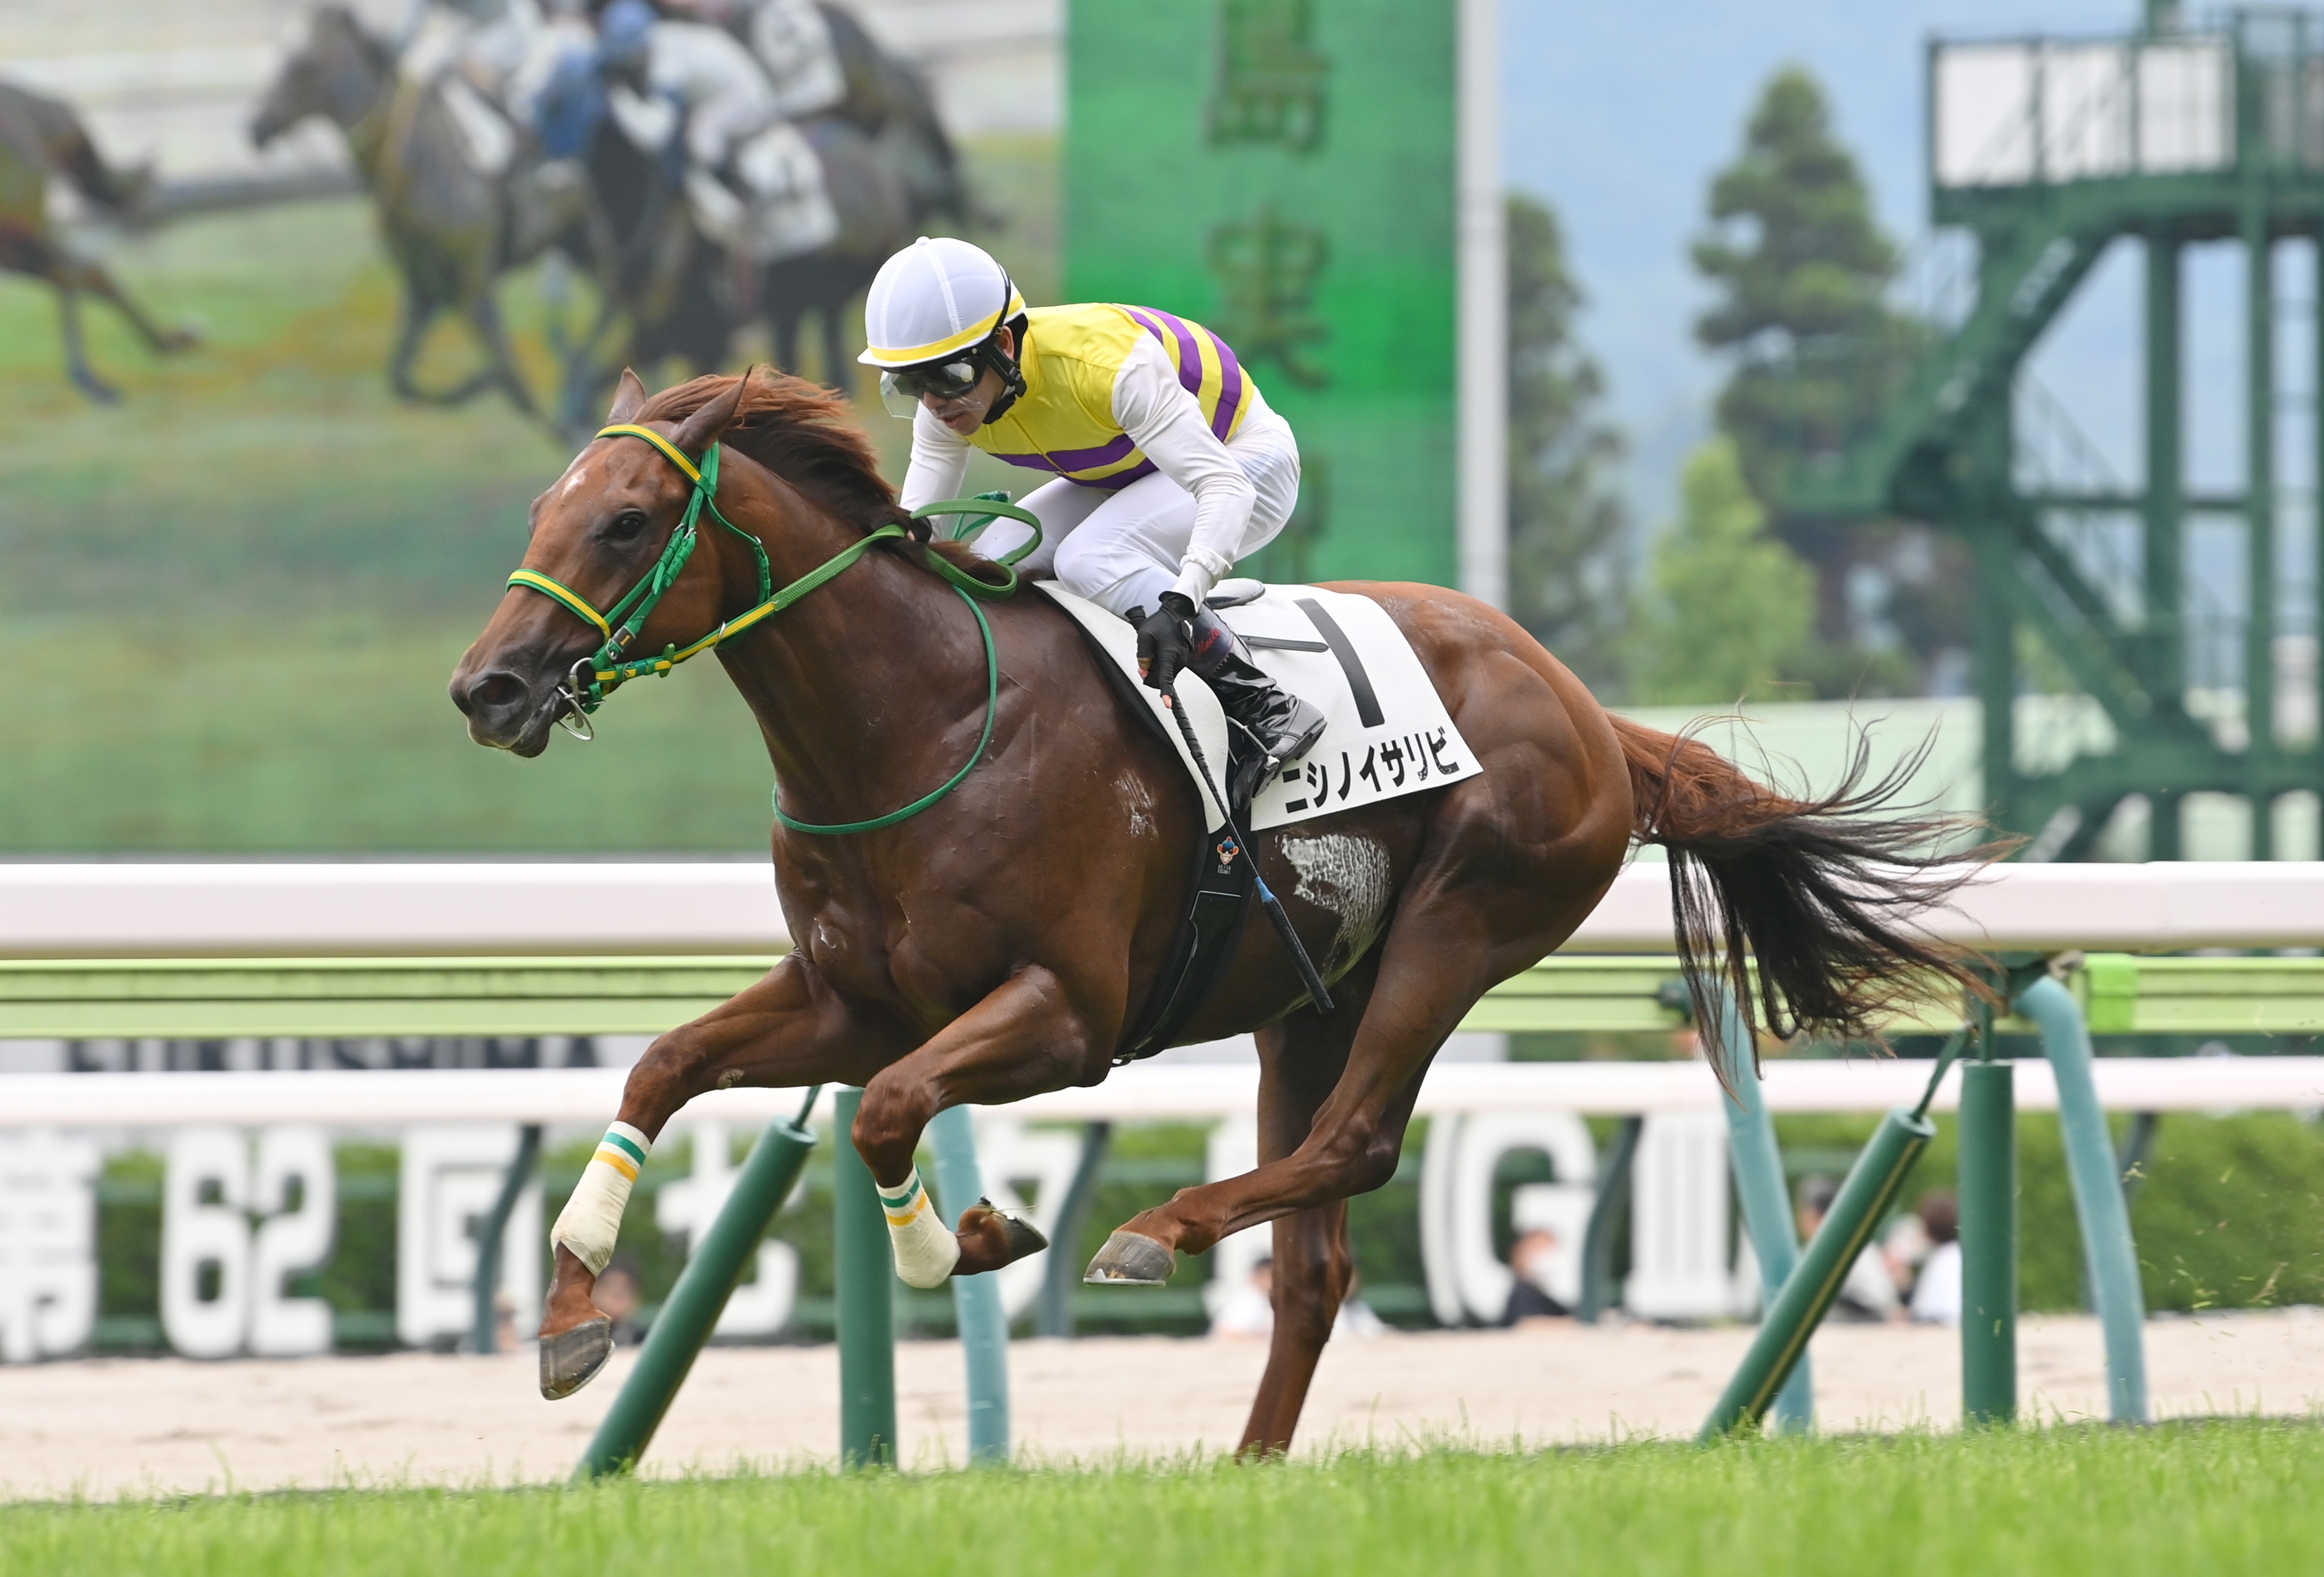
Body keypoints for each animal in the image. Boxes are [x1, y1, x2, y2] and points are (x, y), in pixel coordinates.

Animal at [450, 369, 1989, 1455]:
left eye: (627, 521)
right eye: (535, 515)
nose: (489, 688)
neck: (918, 724)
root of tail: (1588, 709)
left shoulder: (1065, 1016)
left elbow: (887, 1112)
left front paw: (974, 1238)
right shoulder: (852, 1000)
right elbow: (664, 1066)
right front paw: (573, 1310)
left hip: (1461, 925)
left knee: (1355, 1145)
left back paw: (1162, 1228)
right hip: (1309, 996)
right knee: (1316, 1259)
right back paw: (1246, 1462)